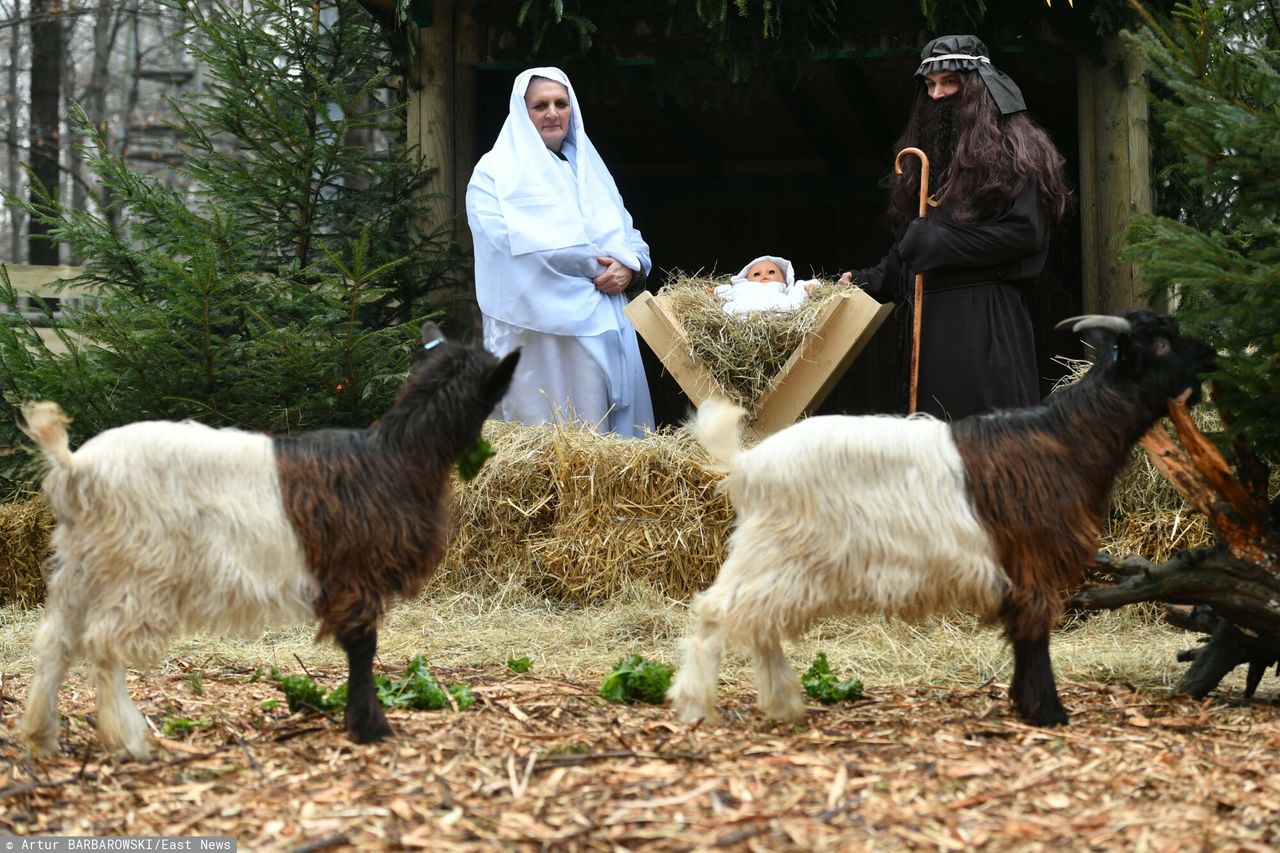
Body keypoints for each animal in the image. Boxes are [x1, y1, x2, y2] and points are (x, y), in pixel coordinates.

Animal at [20, 320, 519, 758]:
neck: (395, 456)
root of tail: (76, 467)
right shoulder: (354, 574)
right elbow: (363, 649)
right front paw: (370, 727)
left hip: (83, 563)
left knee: (56, 641)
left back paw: (43, 737)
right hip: (140, 567)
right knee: (104, 645)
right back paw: (130, 741)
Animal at [665, 311, 1213, 722]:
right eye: (1160, 345)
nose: (1209, 358)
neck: (1066, 437)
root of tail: (747, 465)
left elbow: (1023, 635)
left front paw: (1027, 705)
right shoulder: (1032, 565)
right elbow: (1034, 634)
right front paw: (1048, 713)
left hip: (785, 565)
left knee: (757, 622)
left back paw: (782, 703)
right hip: (776, 554)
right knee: (715, 611)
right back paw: (695, 706)